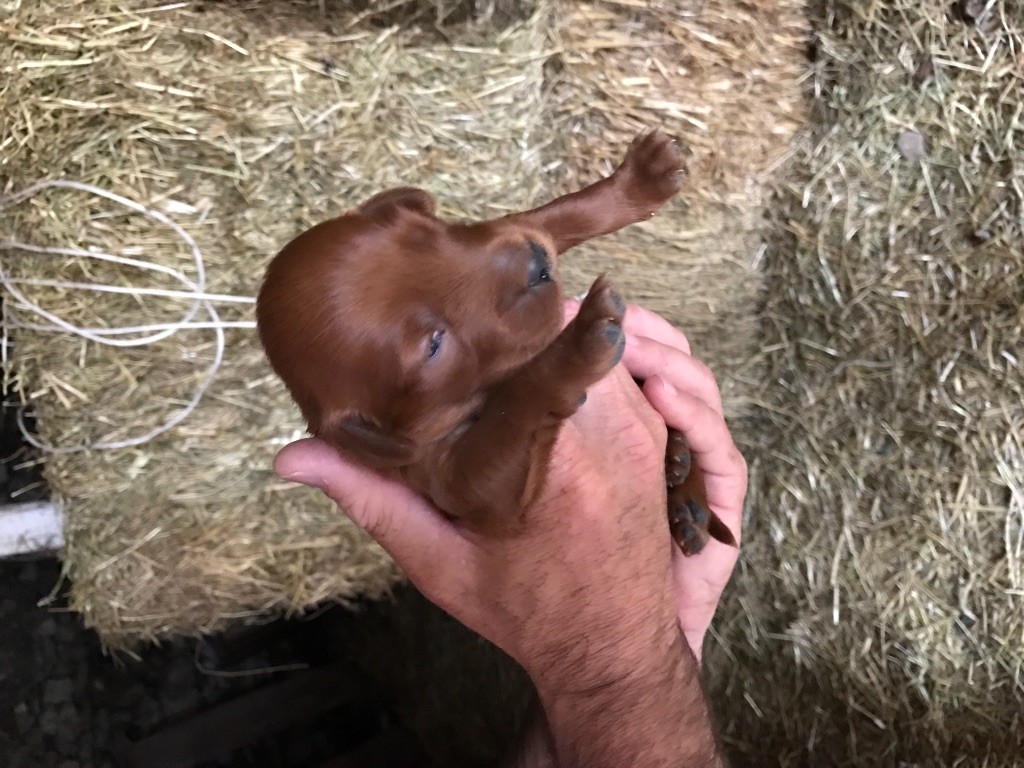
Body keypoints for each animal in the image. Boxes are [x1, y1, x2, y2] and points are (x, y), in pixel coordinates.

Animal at [256, 129, 737, 557]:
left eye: (429, 233)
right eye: (434, 345)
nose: (537, 264)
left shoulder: (513, 227)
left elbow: (561, 215)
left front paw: (642, 178)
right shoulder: (452, 481)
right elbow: (509, 415)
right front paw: (578, 345)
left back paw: (686, 488)